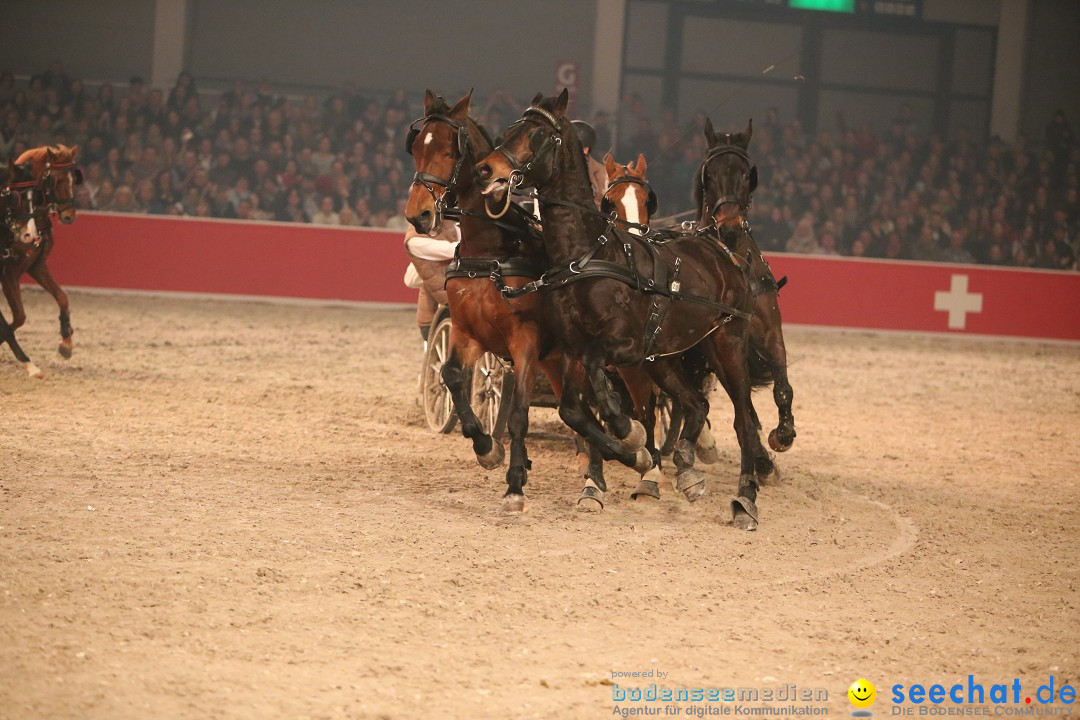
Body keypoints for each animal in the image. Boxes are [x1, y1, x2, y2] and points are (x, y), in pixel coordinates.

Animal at [3, 144, 82, 360]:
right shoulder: (9, 272)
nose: (69, 216)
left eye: (74, 178)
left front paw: (66, 341)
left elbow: (62, 297)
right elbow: (19, 317)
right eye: (56, 179)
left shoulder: (37, 266)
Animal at [406, 90, 656, 515]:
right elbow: (452, 377)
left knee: (644, 407)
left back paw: (643, 460)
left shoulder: (524, 340)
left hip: (619, 362)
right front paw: (488, 449)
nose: (418, 214)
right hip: (560, 363)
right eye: (416, 148)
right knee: (580, 412)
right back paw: (606, 469)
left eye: (448, 150)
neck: (490, 251)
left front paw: (514, 486)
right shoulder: (467, 332)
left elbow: (519, 414)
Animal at [479, 91, 768, 528]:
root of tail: (722, 247)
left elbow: (604, 389)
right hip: (666, 358)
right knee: (695, 403)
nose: (486, 168)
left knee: (744, 420)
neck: (587, 257)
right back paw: (686, 468)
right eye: (511, 128)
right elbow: (574, 411)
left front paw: (626, 431)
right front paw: (634, 455)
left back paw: (746, 500)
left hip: (726, 345)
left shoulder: (623, 347)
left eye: (538, 135)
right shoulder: (572, 351)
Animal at [695, 120, 799, 453]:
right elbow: (740, 398)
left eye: (745, 174)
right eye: (709, 174)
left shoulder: (770, 331)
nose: (729, 228)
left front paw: (783, 433)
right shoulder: (721, 343)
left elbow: (783, 385)